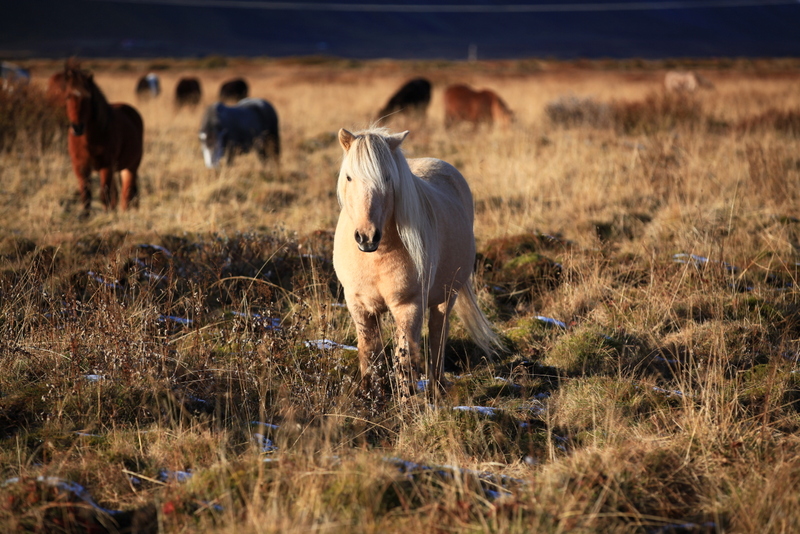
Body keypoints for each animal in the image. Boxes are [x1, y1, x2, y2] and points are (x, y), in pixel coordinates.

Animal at [62, 64, 144, 213]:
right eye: (68, 97)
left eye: (88, 98)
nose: (77, 128)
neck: (88, 140)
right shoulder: (80, 167)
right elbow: (86, 194)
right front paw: (85, 214)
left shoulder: (105, 166)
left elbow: (104, 194)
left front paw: (107, 214)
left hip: (130, 167)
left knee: (126, 192)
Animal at [333, 127, 501, 399]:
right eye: (349, 177)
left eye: (388, 178)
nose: (367, 237)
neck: (377, 255)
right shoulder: (358, 305)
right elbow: (369, 352)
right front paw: (370, 396)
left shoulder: (408, 306)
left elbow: (404, 358)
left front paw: (406, 401)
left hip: (447, 295)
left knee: (437, 334)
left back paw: (437, 387)